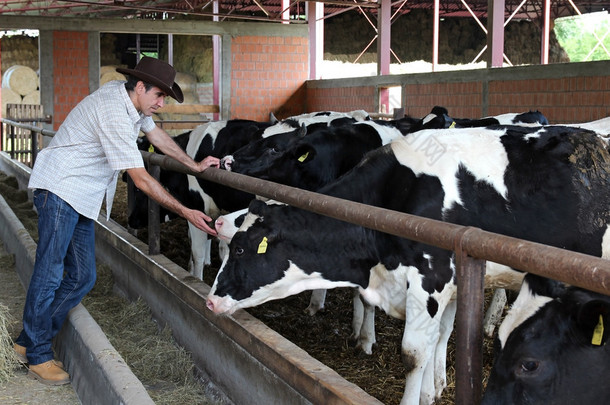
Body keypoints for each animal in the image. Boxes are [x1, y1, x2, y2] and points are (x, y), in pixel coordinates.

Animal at [205, 124, 608, 402]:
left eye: (241, 251)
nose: (210, 301)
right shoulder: (446, 284)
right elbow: (438, 338)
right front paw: (433, 390)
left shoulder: (433, 278)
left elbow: (414, 353)